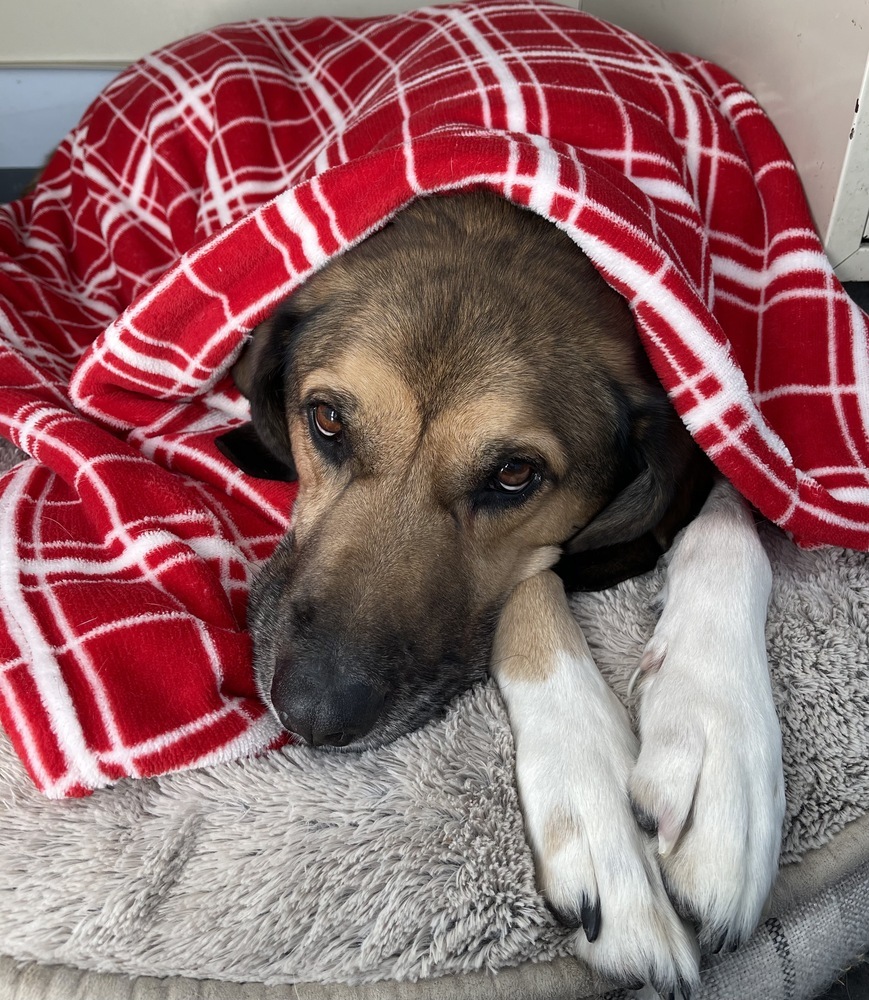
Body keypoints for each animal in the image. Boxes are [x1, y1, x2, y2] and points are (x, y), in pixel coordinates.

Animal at [217, 191, 788, 996]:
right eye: (326, 419)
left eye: (514, 475)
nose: (314, 715)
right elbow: (536, 585)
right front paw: (605, 822)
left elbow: (732, 514)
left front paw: (717, 729)